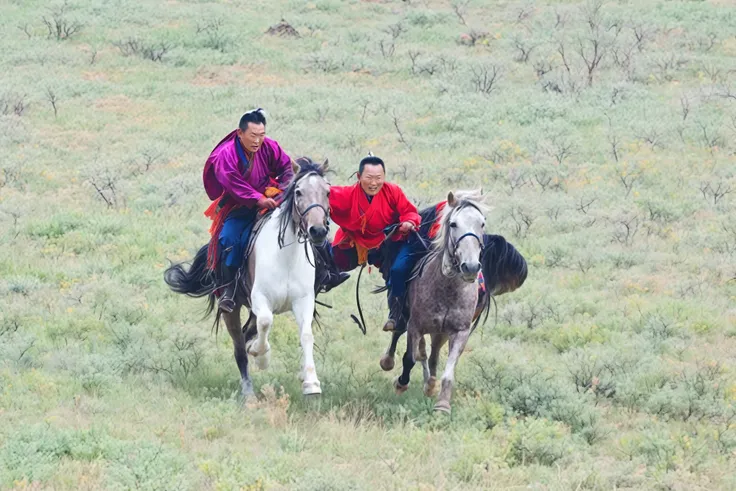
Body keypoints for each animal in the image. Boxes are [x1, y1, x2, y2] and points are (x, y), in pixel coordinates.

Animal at [167, 158, 330, 400]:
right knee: (239, 346)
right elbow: (265, 323)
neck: (286, 256)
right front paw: (261, 356)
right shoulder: (261, 298)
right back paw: (248, 391)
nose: (317, 230)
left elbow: (306, 335)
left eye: (327, 191)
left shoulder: (304, 300)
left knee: (247, 333)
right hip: (231, 308)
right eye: (298, 192)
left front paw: (311, 383)